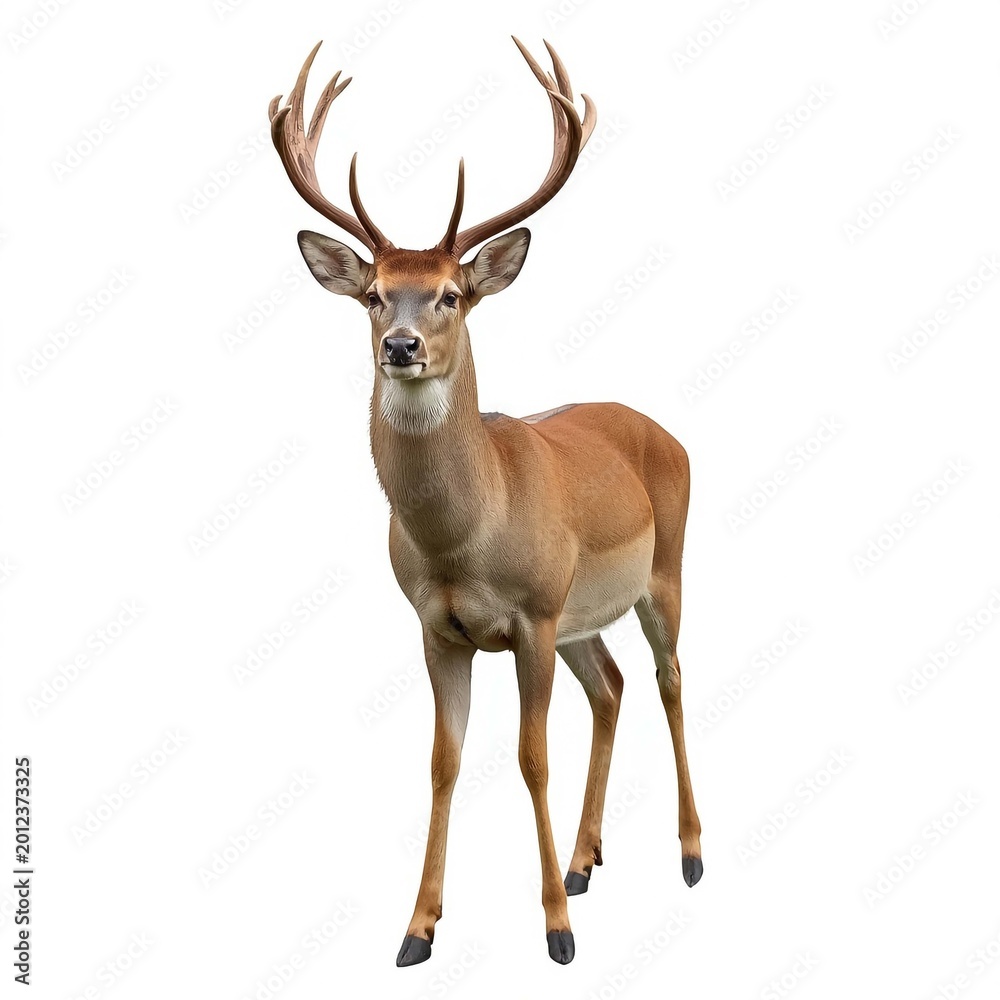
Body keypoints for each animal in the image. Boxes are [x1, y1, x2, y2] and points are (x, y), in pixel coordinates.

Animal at [269, 37, 703, 967]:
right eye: (373, 294)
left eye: (451, 294)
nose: (401, 345)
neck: (465, 540)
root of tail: (664, 430)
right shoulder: (439, 626)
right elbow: (444, 760)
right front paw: (418, 928)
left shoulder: (532, 613)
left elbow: (531, 757)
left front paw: (556, 930)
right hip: (582, 615)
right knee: (611, 686)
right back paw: (584, 859)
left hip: (663, 571)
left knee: (669, 678)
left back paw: (688, 854)